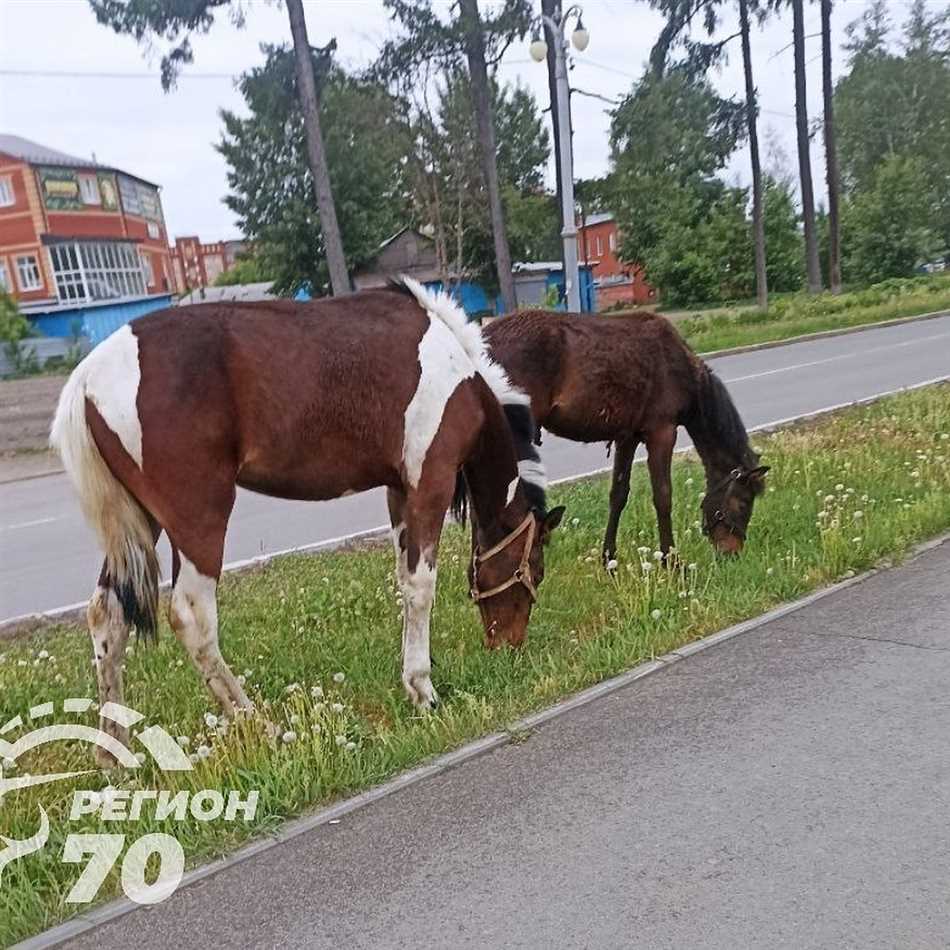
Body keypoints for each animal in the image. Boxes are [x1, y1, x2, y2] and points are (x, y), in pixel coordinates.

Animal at [50, 278, 564, 764]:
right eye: (534, 571)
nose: (509, 645)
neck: (458, 373)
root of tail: (87, 379)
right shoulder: (429, 483)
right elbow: (421, 586)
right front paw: (422, 690)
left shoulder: (399, 491)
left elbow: (403, 580)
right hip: (198, 521)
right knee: (191, 617)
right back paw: (257, 725)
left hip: (141, 523)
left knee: (106, 615)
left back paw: (111, 749)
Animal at [488, 312, 768, 564]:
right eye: (744, 502)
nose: (732, 553)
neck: (683, 370)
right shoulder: (662, 432)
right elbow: (663, 497)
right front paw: (671, 561)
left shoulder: (628, 437)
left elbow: (618, 495)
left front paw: (608, 559)